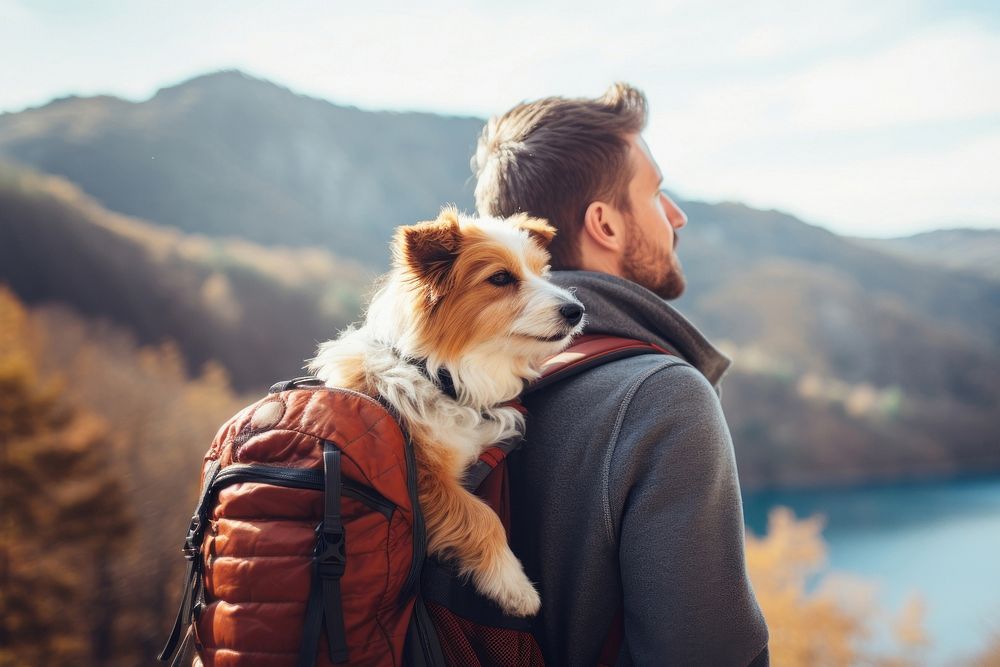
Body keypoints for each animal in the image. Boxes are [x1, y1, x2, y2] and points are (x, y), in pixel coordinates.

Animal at [308, 207, 584, 616]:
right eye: (500, 278)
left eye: (541, 272)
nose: (576, 310)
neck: (440, 376)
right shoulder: (420, 481)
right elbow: (483, 516)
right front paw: (514, 584)